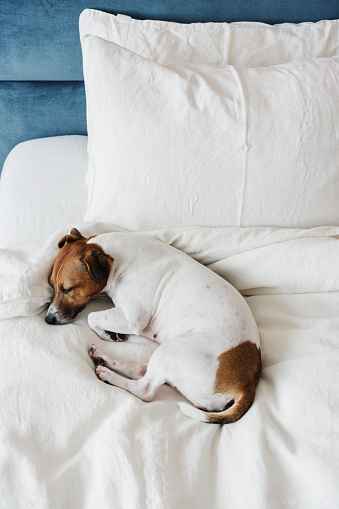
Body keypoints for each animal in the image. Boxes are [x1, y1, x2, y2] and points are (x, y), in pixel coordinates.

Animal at [46, 228, 262, 422]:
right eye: (51, 284)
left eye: (68, 289)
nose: (48, 320)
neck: (121, 261)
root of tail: (247, 384)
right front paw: (111, 334)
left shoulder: (133, 317)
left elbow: (91, 317)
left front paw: (106, 333)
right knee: (141, 370)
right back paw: (104, 358)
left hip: (172, 350)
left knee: (145, 389)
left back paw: (109, 375)